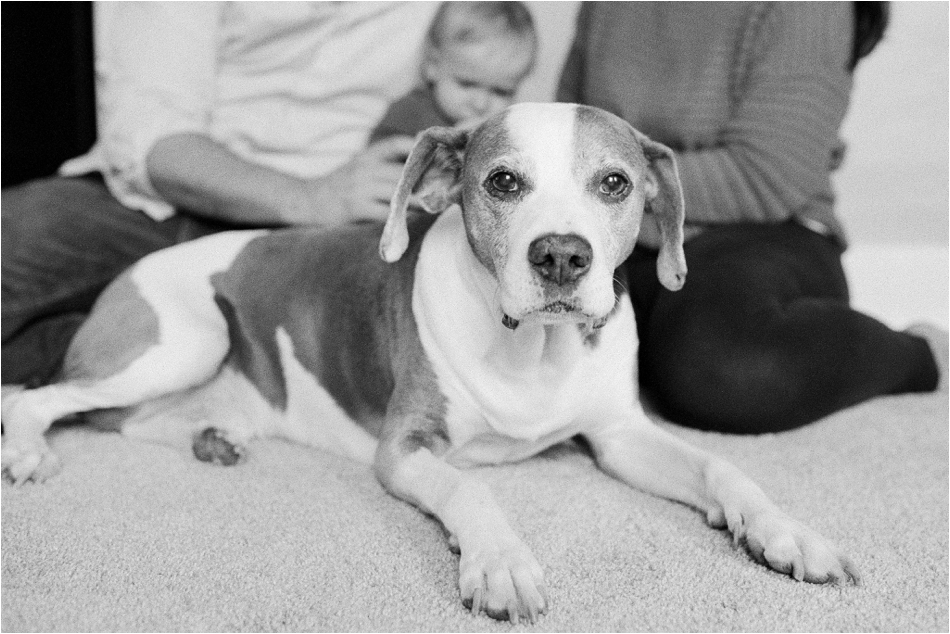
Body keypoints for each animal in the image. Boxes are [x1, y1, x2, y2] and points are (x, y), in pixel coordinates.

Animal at [1, 101, 864, 620]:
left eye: (615, 183)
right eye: (503, 181)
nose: (561, 256)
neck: (532, 348)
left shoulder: (621, 436)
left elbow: (724, 468)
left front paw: (785, 532)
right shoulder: (405, 446)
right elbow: (468, 487)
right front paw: (502, 563)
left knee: (126, 420)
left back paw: (216, 437)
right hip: (182, 339)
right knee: (38, 398)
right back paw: (31, 453)